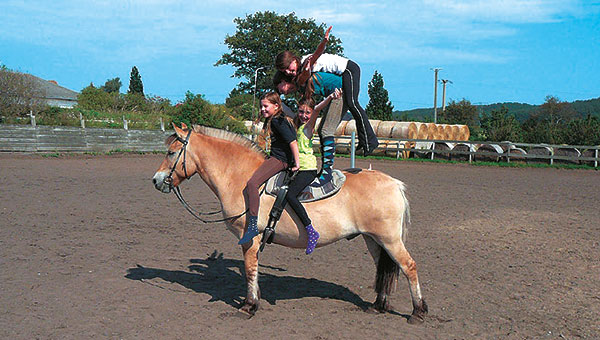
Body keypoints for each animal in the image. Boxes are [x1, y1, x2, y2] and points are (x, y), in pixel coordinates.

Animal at [152, 123, 428, 322]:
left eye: (171, 152)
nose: (156, 180)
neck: (244, 178)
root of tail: (394, 183)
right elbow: (254, 269)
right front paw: (255, 300)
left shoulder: (248, 237)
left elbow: (250, 269)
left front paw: (248, 306)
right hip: (373, 240)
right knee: (384, 269)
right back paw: (378, 305)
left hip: (389, 239)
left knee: (408, 266)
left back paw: (417, 311)